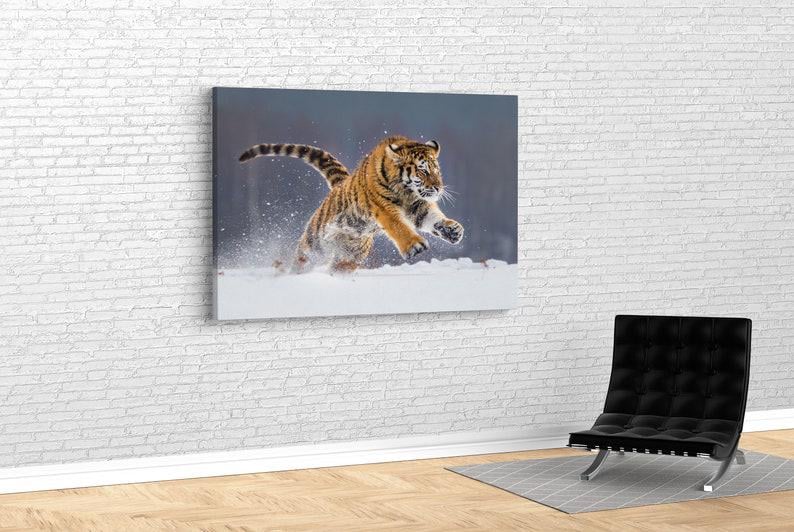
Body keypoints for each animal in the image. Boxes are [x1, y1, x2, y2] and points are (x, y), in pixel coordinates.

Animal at [238, 135, 464, 272]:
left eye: (437, 171)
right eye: (423, 171)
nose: (438, 188)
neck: (406, 191)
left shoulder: (418, 205)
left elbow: (433, 218)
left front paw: (453, 230)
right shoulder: (384, 208)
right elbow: (399, 226)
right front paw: (414, 245)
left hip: (348, 258)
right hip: (313, 245)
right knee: (302, 262)